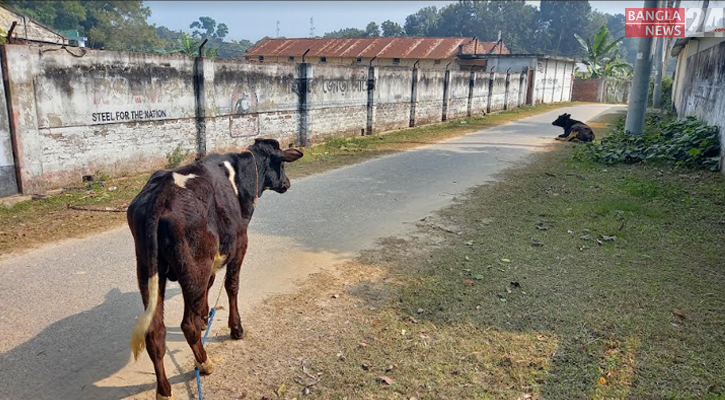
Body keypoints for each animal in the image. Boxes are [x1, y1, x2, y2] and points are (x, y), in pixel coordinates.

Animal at [127, 138, 302, 400]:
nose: (287, 183)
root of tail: (162, 194)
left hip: (148, 269)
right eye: (282, 163)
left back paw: (165, 390)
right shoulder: (240, 242)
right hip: (195, 264)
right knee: (186, 325)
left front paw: (203, 317)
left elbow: (210, 286)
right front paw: (236, 328)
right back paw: (204, 363)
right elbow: (232, 286)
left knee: (155, 332)